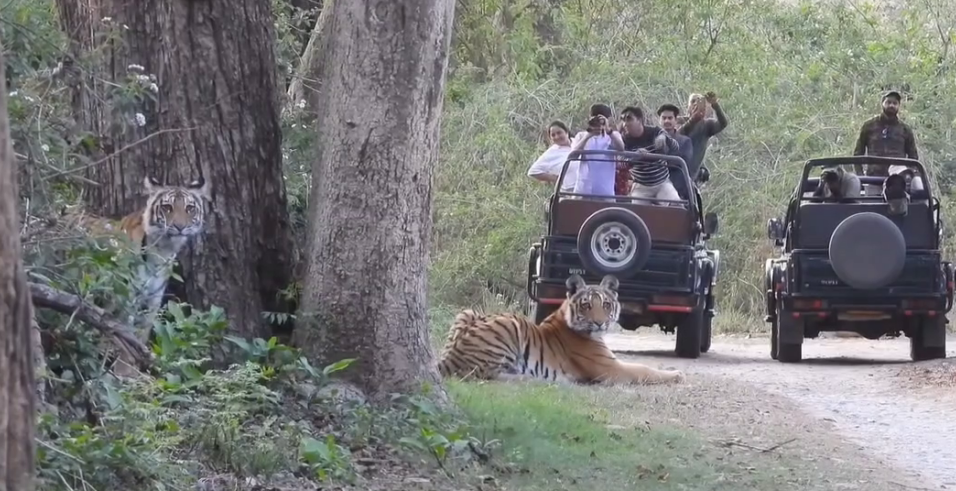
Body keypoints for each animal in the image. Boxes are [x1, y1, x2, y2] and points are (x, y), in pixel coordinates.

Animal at [436, 274, 684, 386]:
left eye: (605, 304)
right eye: (586, 305)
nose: (600, 323)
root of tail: (448, 359)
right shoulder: (611, 369)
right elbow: (644, 369)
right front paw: (677, 374)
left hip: (467, 313)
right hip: (509, 325)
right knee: (484, 373)